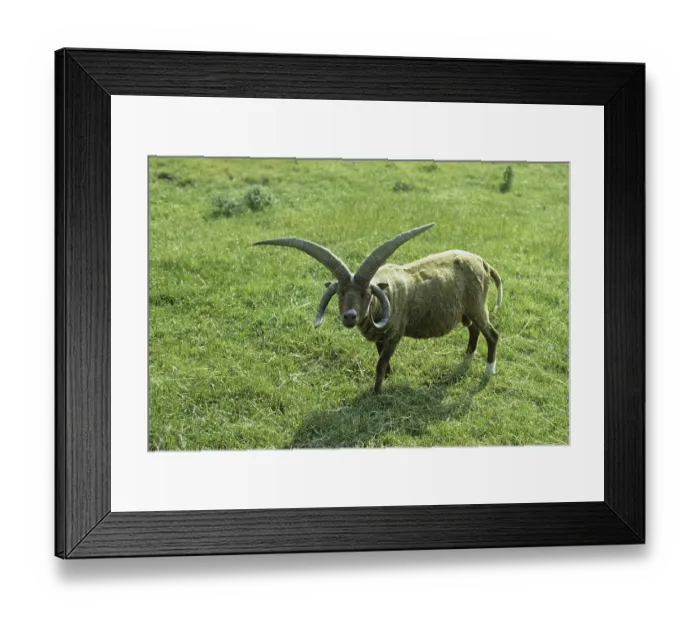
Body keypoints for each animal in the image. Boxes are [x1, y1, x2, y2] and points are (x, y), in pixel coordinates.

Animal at [253, 223, 503, 393]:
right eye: (341, 293)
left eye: (366, 294)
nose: (350, 316)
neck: (387, 290)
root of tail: (483, 263)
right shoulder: (380, 338)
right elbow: (381, 358)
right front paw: (388, 378)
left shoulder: (395, 335)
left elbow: (380, 362)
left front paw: (376, 391)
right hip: (467, 312)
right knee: (474, 330)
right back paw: (467, 359)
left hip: (478, 307)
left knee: (492, 334)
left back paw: (488, 372)